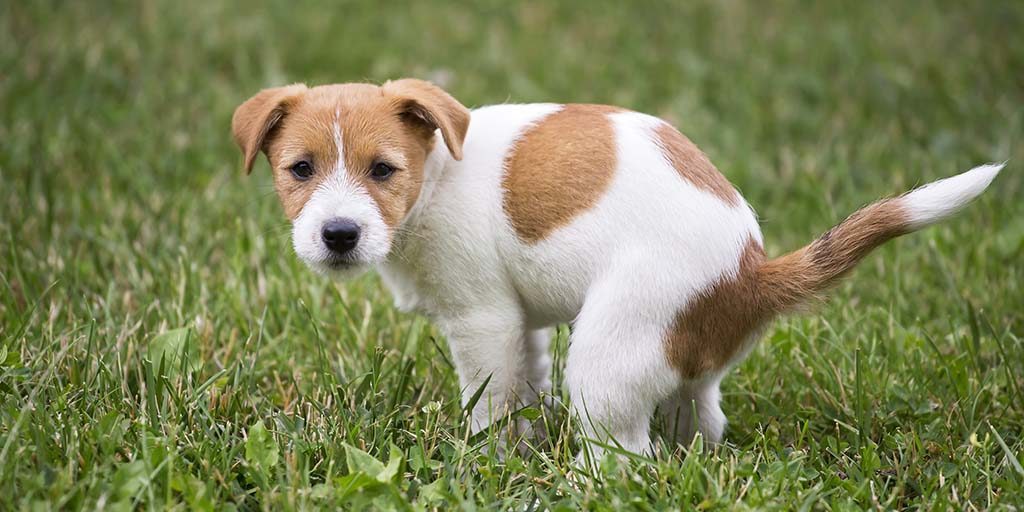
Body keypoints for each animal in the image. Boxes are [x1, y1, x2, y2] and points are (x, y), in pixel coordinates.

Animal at [232, 80, 999, 460]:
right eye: (299, 169)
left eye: (384, 170)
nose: (338, 235)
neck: (438, 174)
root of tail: (751, 272)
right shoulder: (520, 325)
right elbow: (525, 386)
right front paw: (523, 448)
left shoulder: (482, 321)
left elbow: (490, 403)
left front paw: (489, 463)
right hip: (681, 360)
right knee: (699, 422)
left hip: (608, 356)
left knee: (629, 458)